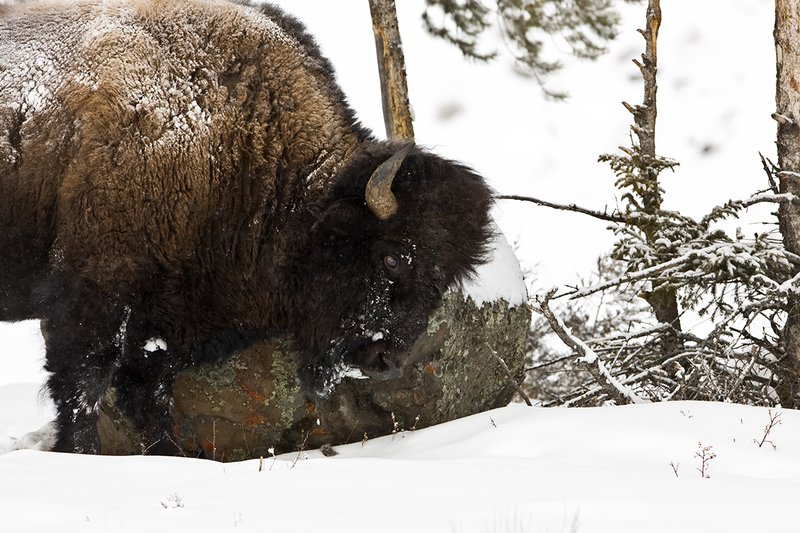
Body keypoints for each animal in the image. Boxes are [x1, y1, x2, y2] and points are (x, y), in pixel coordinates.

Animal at [0, 0, 494, 454]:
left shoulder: (162, 330)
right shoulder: (96, 292)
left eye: (444, 280)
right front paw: (80, 453)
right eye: (391, 258)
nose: (387, 359)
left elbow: (151, 398)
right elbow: (83, 387)